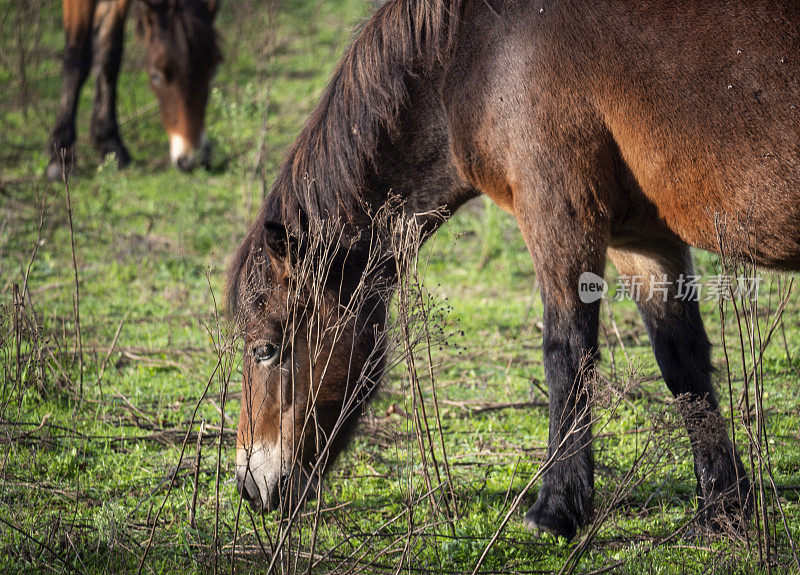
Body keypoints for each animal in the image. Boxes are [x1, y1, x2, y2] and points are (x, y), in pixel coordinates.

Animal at [47, 0, 222, 180]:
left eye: (213, 69)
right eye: (156, 76)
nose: (193, 160)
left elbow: (109, 55)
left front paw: (111, 145)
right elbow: (77, 58)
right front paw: (61, 155)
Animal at [223, 0, 800, 540]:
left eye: (265, 349)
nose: (249, 486)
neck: (473, 52)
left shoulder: (558, 214)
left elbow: (567, 354)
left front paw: (556, 509)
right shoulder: (642, 238)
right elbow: (681, 360)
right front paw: (723, 508)